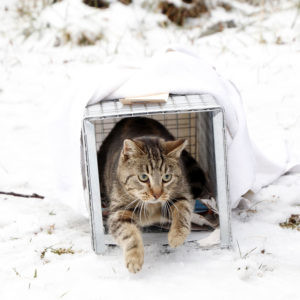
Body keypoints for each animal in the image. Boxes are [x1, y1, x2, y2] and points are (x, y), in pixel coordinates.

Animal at [97, 116, 207, 274]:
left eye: (167, 177)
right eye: (143, 177)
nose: (157, 194)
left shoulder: (182, 193)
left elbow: (182, 212)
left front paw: (176, 236)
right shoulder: (119, 212)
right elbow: (129, 233)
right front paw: (134, 259)